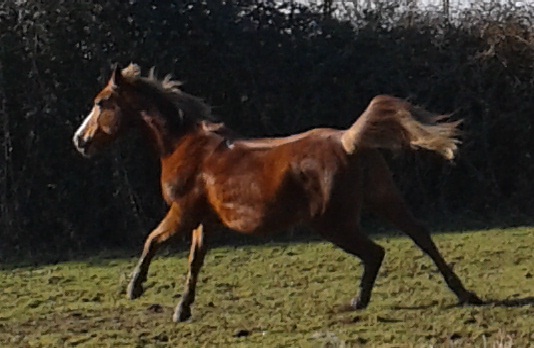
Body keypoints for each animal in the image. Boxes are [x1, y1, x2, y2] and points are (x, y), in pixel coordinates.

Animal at [72, 64, 486, 322]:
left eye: (102, 103)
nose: (80, 141)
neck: (186, 146)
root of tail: (350, 141)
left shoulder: (182, 213)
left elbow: (151, 240)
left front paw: (135, 288)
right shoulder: (203, 221)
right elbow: (194, 262)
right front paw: (182, 310)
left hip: (334, 222)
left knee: (376, 251)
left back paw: (359, 301)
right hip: (385, 199)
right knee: (421, 237)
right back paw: (465, 295)